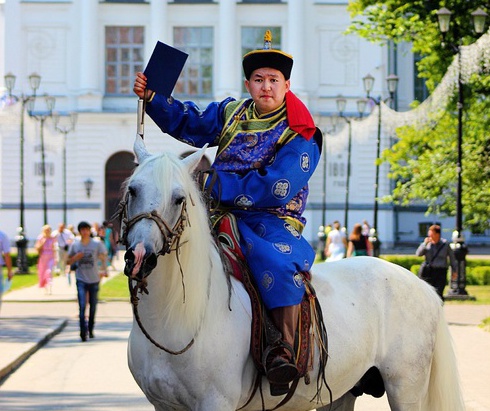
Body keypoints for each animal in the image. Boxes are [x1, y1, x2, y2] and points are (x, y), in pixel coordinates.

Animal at [118, 137, 464, 410]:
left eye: (179, 198)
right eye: (132, 190)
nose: (140, 256)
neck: (175, 317)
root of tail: (422, 285)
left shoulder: (216, 403)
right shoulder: (163, 404)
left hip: (406, 387)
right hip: (345, 389)